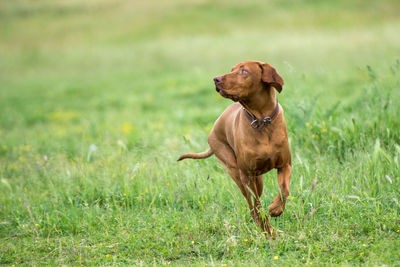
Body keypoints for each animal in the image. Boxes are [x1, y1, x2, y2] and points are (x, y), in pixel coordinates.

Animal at [178, 60, 290, 237]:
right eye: (232, 70)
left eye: (244, 71)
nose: (216, 79)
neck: (262, 121)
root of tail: (212, 131)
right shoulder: (247, 175)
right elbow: (257, 207)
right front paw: (267, 228)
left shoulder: (285, 165)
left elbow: (284, 189)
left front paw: (276, 209)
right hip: (237, 172)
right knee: (252, 206)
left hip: (257, 179)